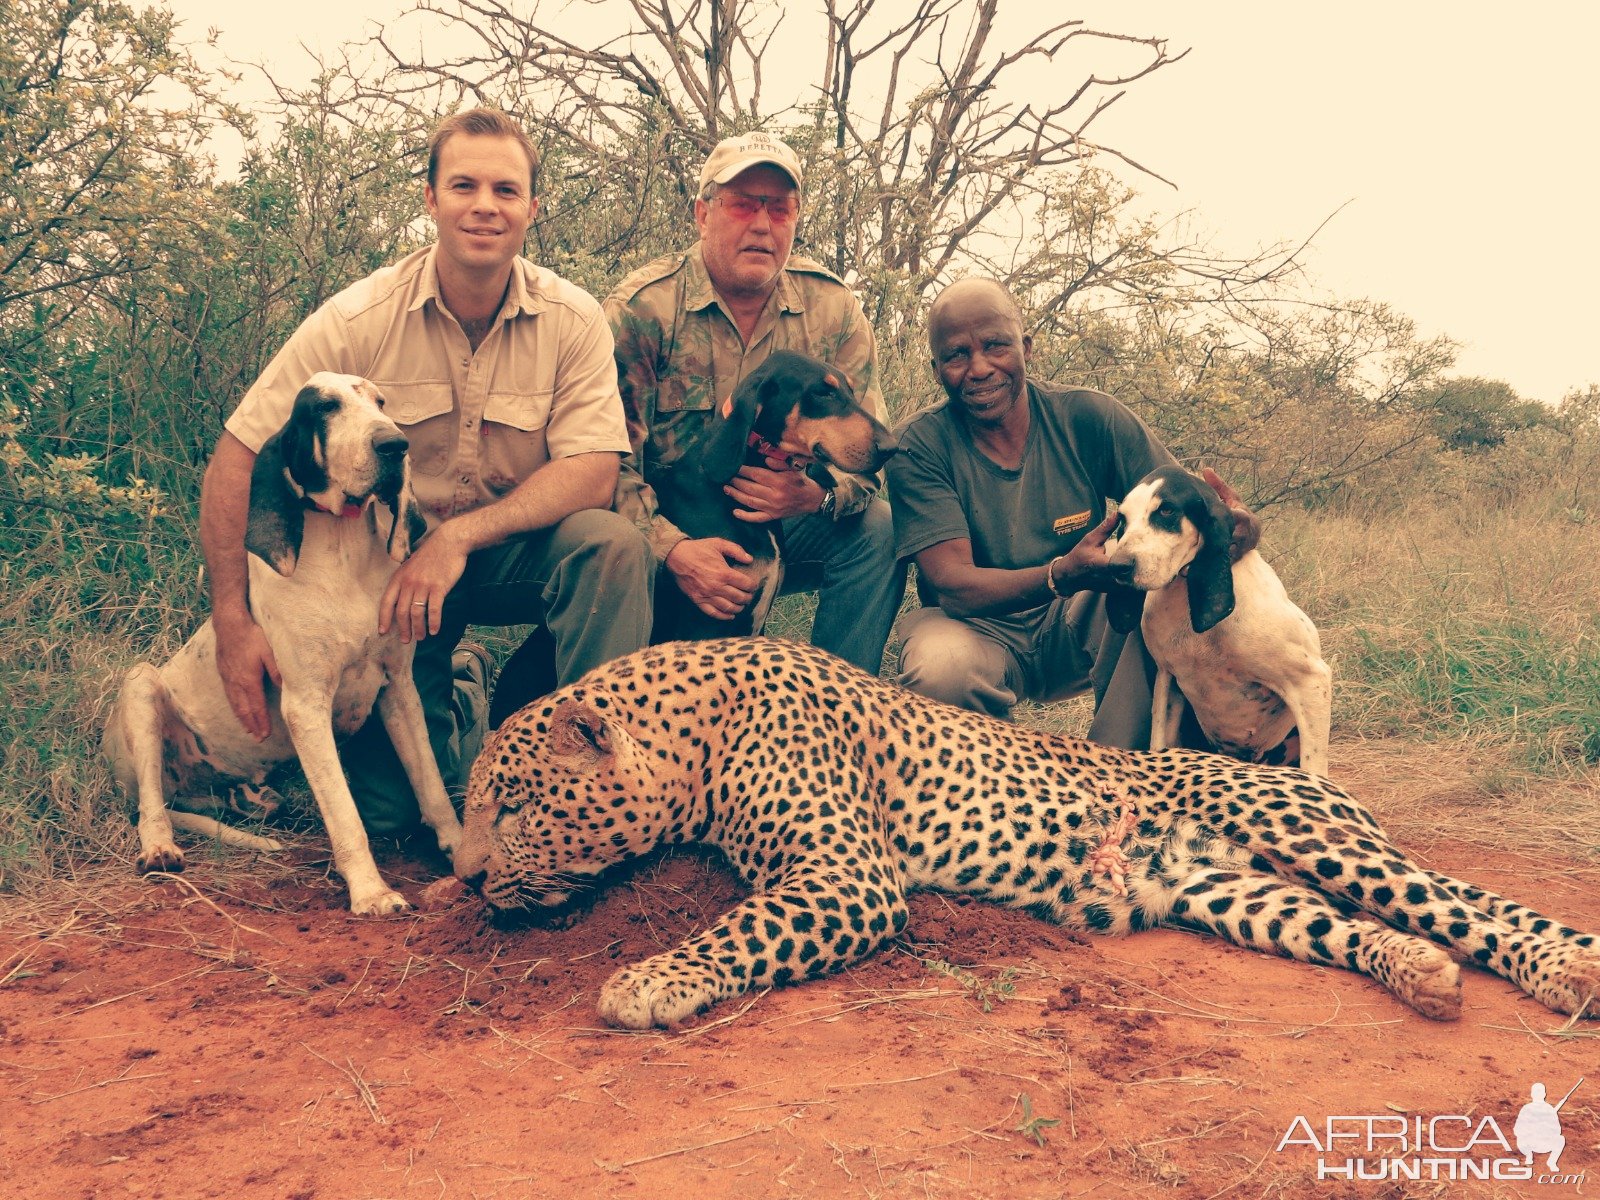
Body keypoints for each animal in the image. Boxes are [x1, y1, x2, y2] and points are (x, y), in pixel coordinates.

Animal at [451, 643, 1600, 1030]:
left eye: (508, 804)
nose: (458, 878)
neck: (698, 731)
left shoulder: (846, 874)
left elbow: (738, 929)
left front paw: (646, 980)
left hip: (1314, 832)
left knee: (1469, 908)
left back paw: (1566, 975)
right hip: (1239, 895)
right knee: (1362, 925)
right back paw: (1423, 978)